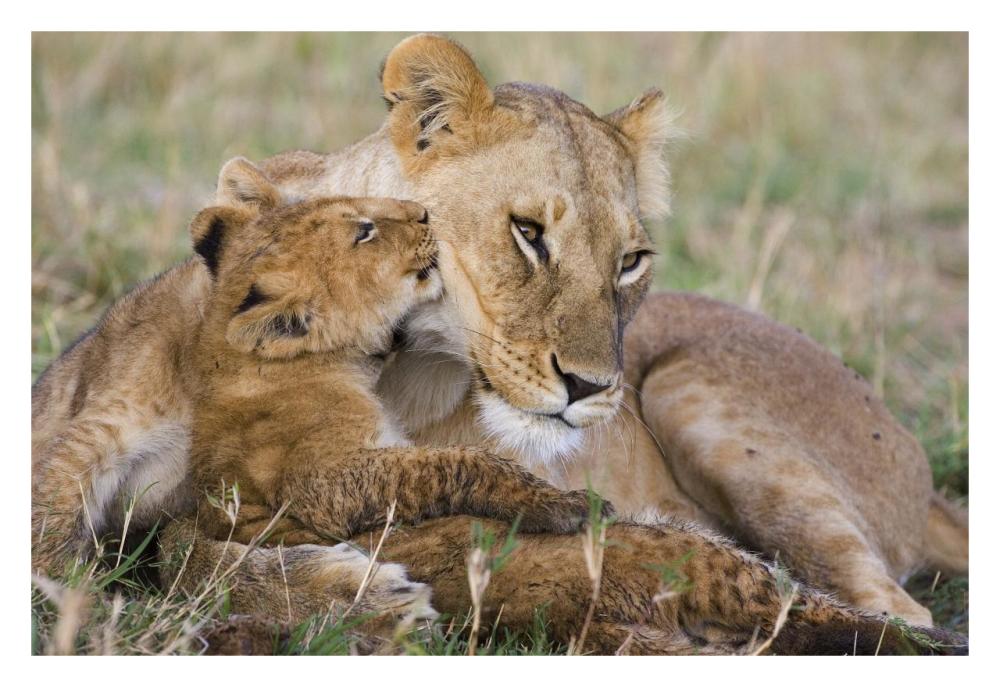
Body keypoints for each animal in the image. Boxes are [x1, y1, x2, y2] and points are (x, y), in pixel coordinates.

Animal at [33, 33, 966, 639]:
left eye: (631, 260)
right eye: (528, 232)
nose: (592, 389)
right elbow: (185, 552)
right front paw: (351, 593)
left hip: (688, 389)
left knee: (898, 608)